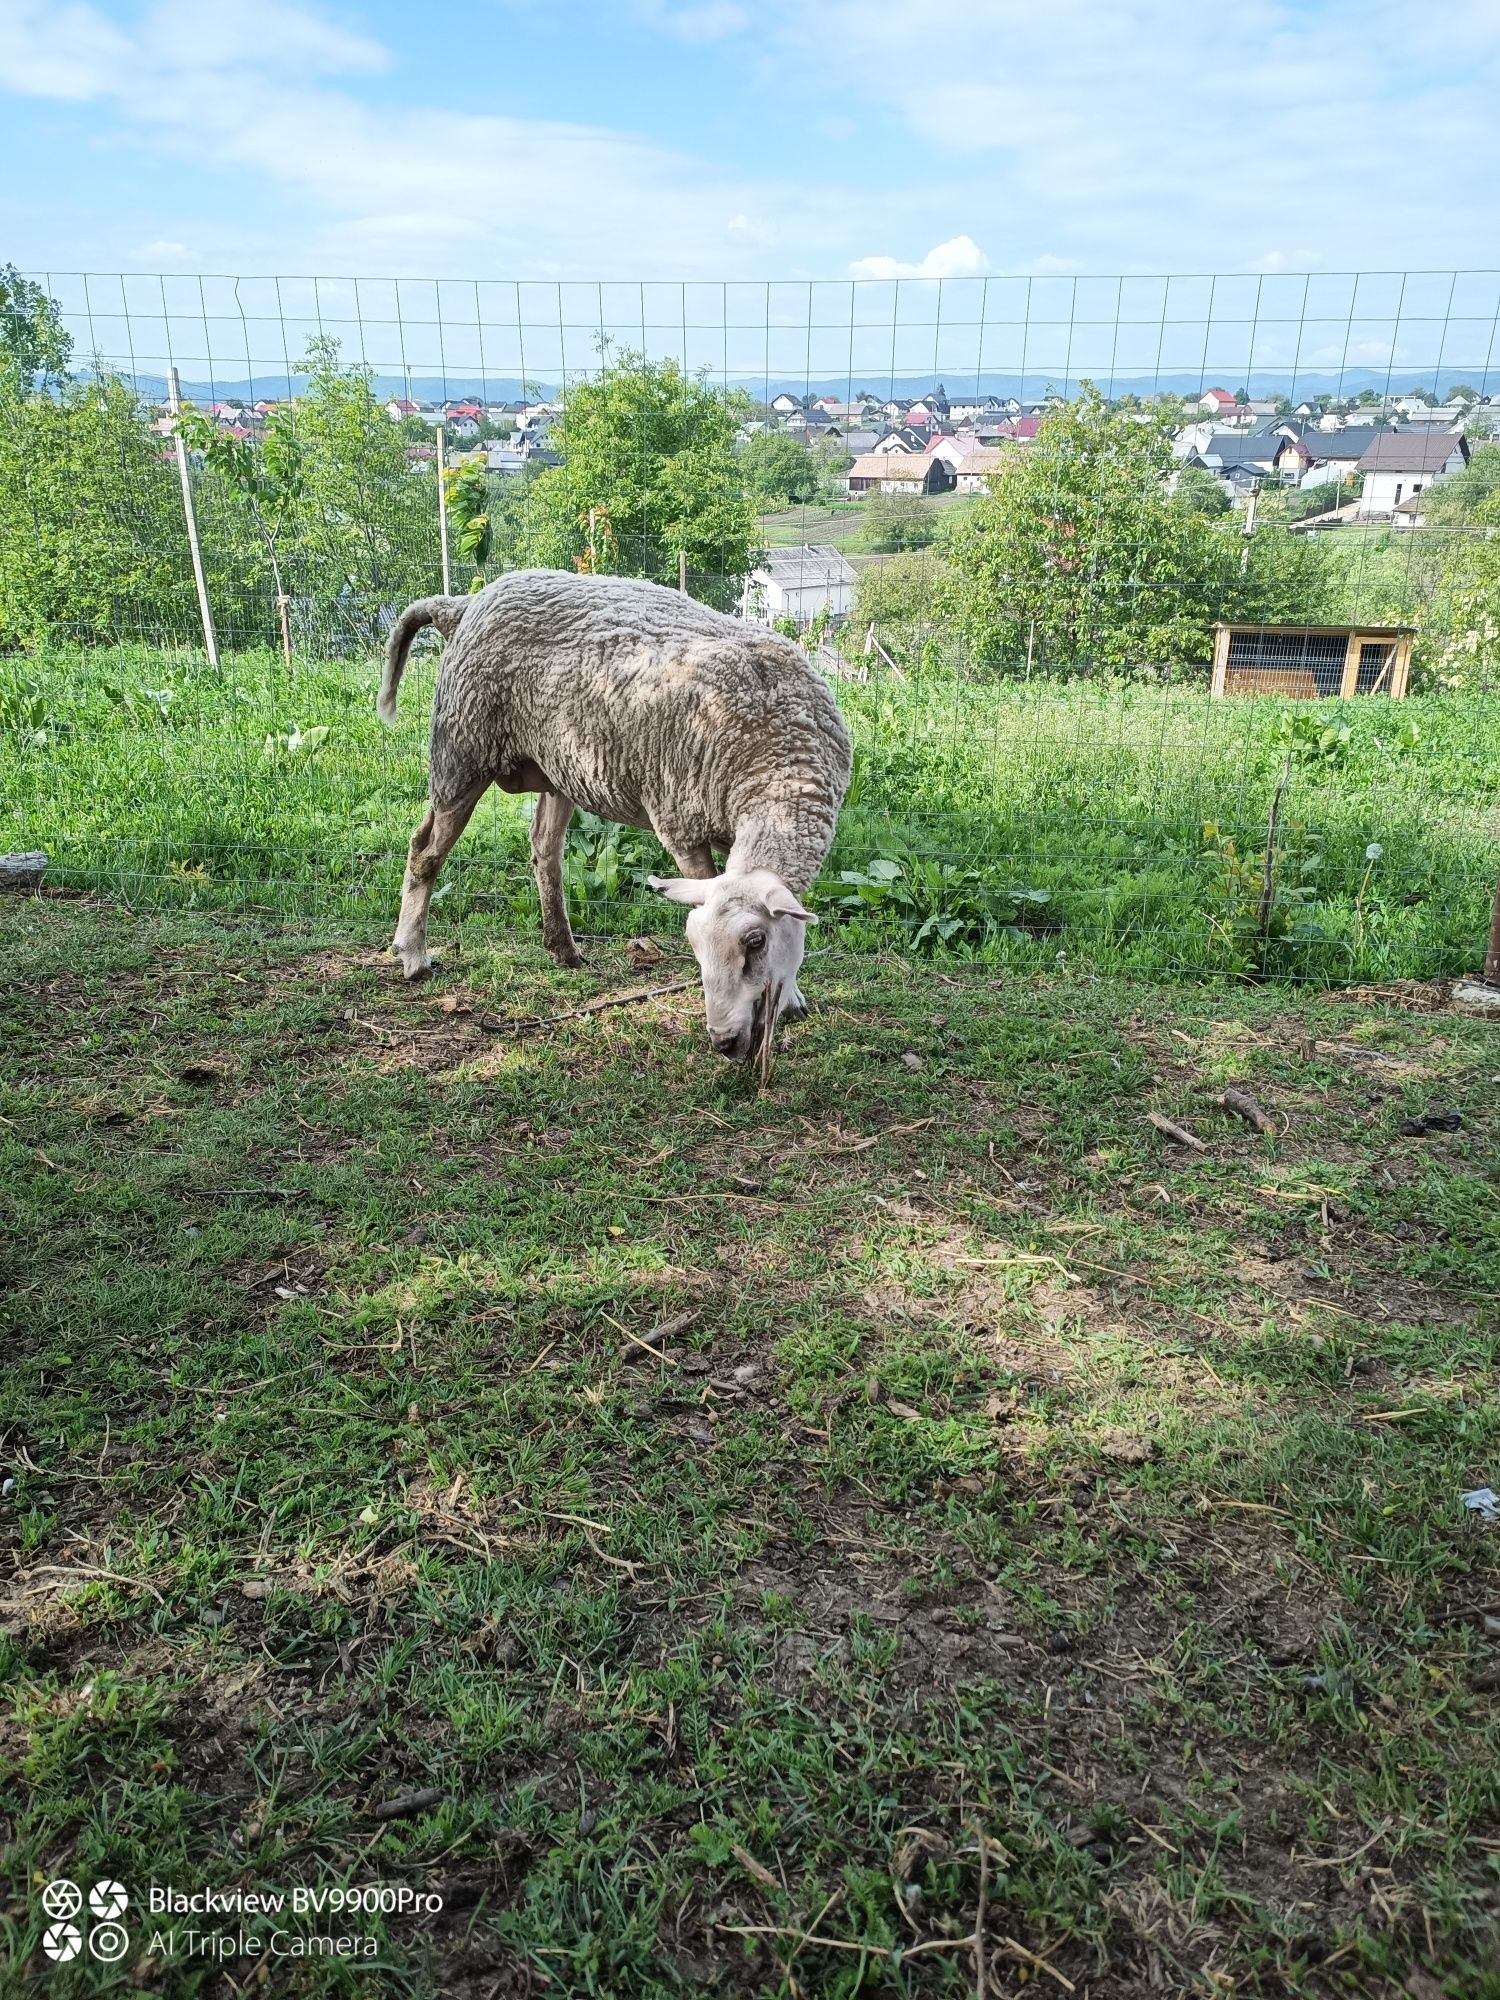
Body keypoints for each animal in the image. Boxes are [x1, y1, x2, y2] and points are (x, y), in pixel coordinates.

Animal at [376, 568, 852, 1064]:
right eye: (695, 947)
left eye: (755, 942)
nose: (723, 1041)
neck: (777, 767)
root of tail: (464, 605)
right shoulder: (681, 825)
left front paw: (790, 997)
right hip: (461, 750)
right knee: (425, 850)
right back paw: (413, 954)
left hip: (557, 767)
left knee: (543, 848)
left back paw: (562, 948)